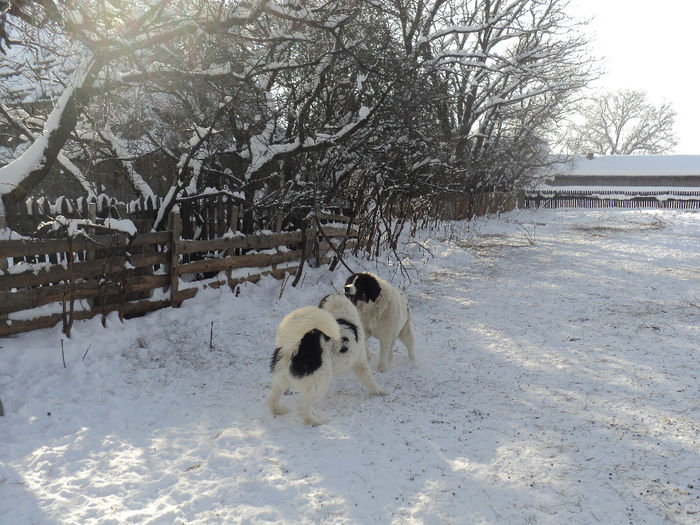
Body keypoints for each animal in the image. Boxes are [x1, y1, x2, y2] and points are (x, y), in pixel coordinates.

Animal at [268, 298, 386, 426]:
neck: (341, 314)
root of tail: (294, 348)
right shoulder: (360, 362)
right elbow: (370, 380)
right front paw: (380, 391)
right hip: (319, 383)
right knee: (302, 408)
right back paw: (316, 421)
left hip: (282, 379)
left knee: (272, 398)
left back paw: (279, 410)